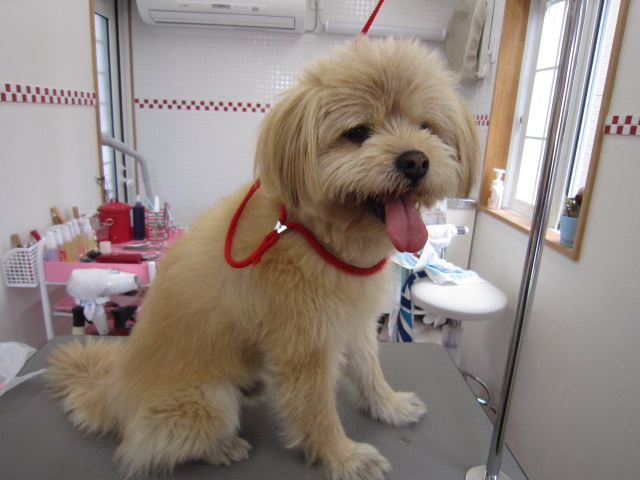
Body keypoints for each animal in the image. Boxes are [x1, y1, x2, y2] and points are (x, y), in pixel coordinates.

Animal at [48, 36, 480, 480]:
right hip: (207, 403)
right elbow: (318, 411)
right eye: (358, 132)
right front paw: (343, 457)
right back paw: (220, 447)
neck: (318, 235)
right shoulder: (306, 348)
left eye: (426, 127)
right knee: (151, 445)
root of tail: (112, 395)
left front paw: (389, 407)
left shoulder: (354, 324)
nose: (416, 160)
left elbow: (369, 372)